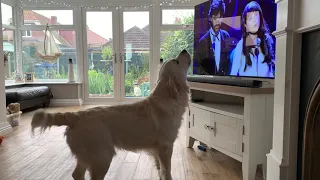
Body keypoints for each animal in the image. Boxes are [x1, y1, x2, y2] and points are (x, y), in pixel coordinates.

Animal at [30, 49, 190, 180]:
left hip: (87, 156)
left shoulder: (157, 150)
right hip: (102, 157)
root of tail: (76, 116)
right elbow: (167, 171)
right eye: (176, 61)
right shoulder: (165, 147)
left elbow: (160, 172)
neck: (166, 98)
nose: (184, 50)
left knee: (76, 174)